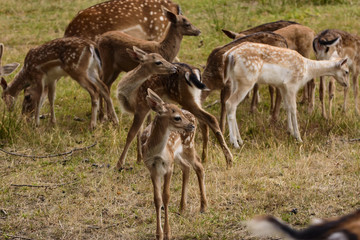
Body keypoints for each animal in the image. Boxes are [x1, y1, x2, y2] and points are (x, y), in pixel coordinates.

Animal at [142, 88, 207, 240]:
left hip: (188, 145)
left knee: (199, 166)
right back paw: (182, 208)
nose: (191, 125)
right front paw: (158, 234)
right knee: (187, 167)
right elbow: (157, 199)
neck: (156, 153)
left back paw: (203, 207)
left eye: (180, 114)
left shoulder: (168, 166)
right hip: (177, 154)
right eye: (177, 117)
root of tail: (192, 114)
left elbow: (166, 196)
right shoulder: (152, 169)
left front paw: (168, 232)